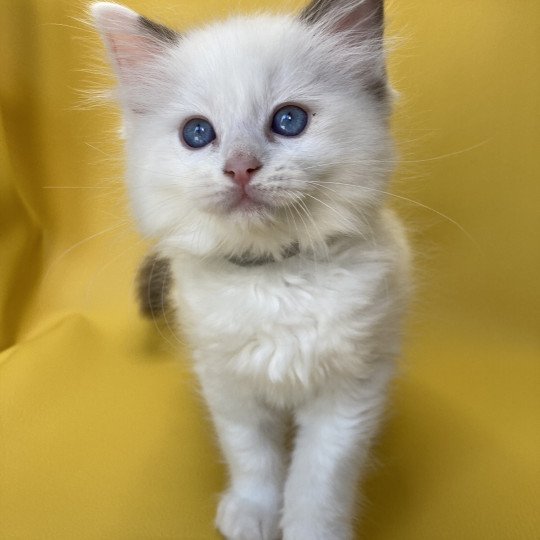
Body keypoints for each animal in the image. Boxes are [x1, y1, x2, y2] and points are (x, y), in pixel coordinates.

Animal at [93, 2, 412, 536]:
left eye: (289, 121)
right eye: (197, 133)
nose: (240, 167)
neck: (272, 275)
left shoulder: (348, 394)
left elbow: (317, 481)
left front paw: (311, 530)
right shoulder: (228, 387)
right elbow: (252, 458)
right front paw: (252, 514)